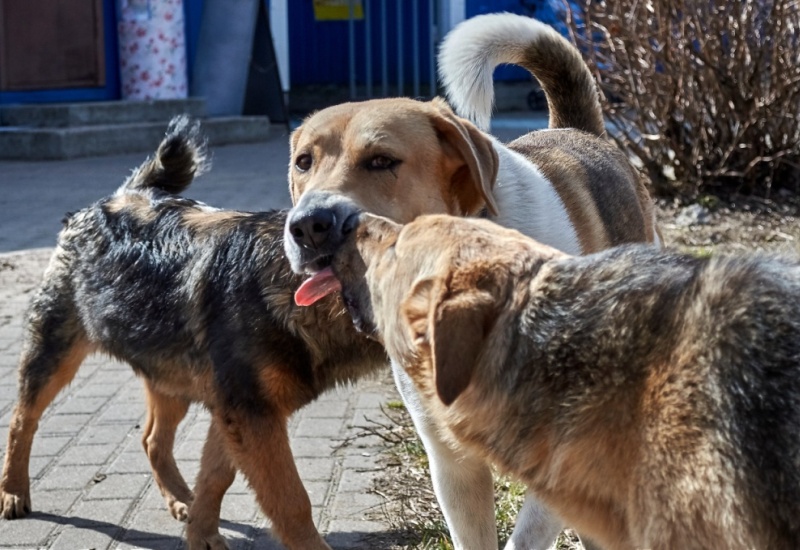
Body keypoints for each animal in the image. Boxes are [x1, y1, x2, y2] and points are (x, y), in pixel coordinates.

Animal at [0, 117, 388, 550]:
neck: (289, 284)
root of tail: (116, 199)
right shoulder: (251, 414)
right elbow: (290, 502)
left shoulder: (235, 410)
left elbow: (217, 476)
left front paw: (200, 531)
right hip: (54, 356)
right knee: (22, 421)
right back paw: (13, 490)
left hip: (170, 377)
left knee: (152, 440)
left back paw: (179, 497)